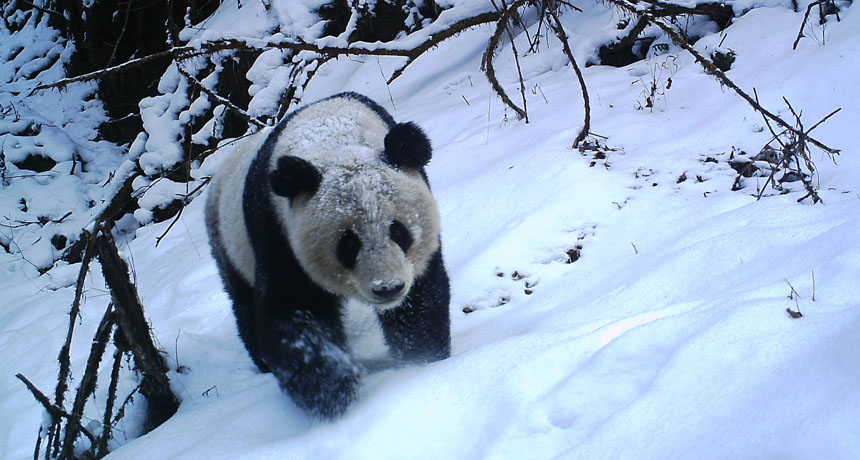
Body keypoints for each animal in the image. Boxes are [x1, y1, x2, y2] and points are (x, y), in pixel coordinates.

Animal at [205, 92, 450, 419]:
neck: (331, 134)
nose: (388, 289)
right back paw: (263, 364)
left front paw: (420, 358)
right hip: (227, 243)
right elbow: (293, 311)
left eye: (399, 231)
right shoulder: (275, 231)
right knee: (242, 303)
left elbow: (420, 298)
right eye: (348, 244)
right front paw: (332, 390)